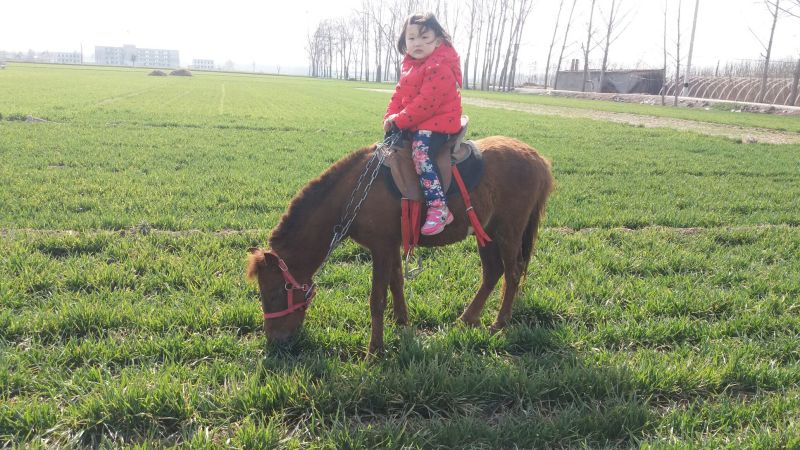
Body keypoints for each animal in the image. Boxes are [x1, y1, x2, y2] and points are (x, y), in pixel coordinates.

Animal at [247, 136, 554, 354]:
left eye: (275, 292)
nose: (275, 340)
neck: (355, 192)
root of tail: (538, 159)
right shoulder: (392, 246)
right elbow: (396, 282)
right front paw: (402, 321)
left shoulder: (381, 247)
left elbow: (377, 299)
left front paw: (375, 350)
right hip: (486, 233)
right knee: (492, 273)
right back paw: (467, 318)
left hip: (508, 232)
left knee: (512, 273)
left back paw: (499, 322)